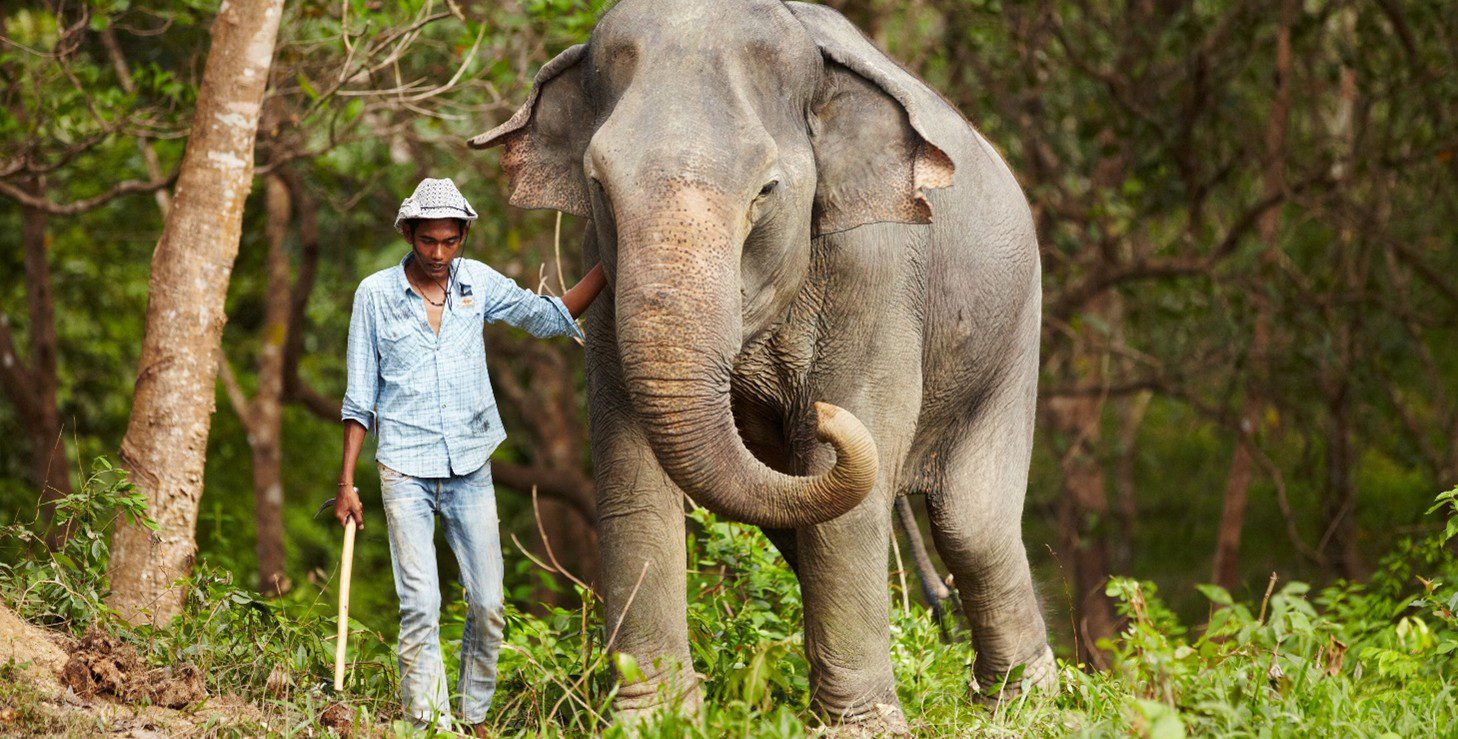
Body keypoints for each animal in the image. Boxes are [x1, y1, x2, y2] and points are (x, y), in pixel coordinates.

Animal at [470, 0, 1056, 729]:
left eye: (766, 191)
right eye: (599, 185)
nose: (821, 416)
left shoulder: (878, 271)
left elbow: (850, 480)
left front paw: (863, 730)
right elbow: (631, 470)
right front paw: (655, 720)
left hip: (1014, 335)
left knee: (971, 526)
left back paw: (1028, 705)